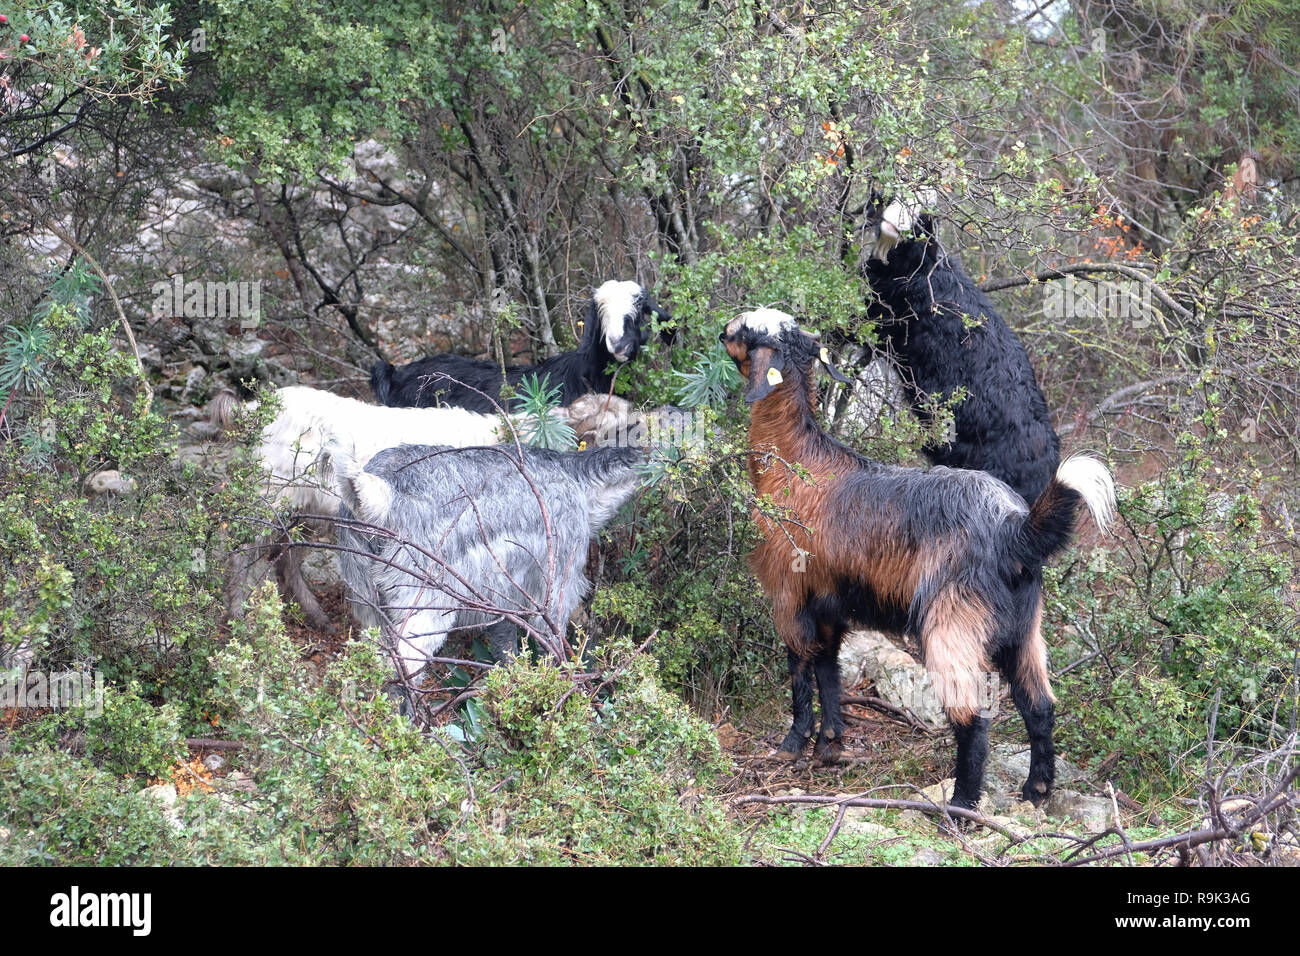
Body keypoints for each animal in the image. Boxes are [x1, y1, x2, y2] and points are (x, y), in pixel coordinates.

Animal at [327, 440, 645, 693]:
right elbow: (550, 650)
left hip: (371, 608)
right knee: (400, 670)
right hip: (425, 608)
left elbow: (506, 648)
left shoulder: (504, 598)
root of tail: (383, 495)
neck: (577, 480)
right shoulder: (555, 593)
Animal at [721, 309, 1115, 810]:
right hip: (1024, 628)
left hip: (952, 622)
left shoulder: (789, 592)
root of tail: (1015, 529)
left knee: (972, 716)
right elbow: (829, 668)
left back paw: (961, 805)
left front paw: (793, 744)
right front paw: (830, 744)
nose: (721, 333)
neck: (795, 461)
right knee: (1039, 704)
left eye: (746, 330)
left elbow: (799, 667)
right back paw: (1035, 789)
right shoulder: (831, 604)